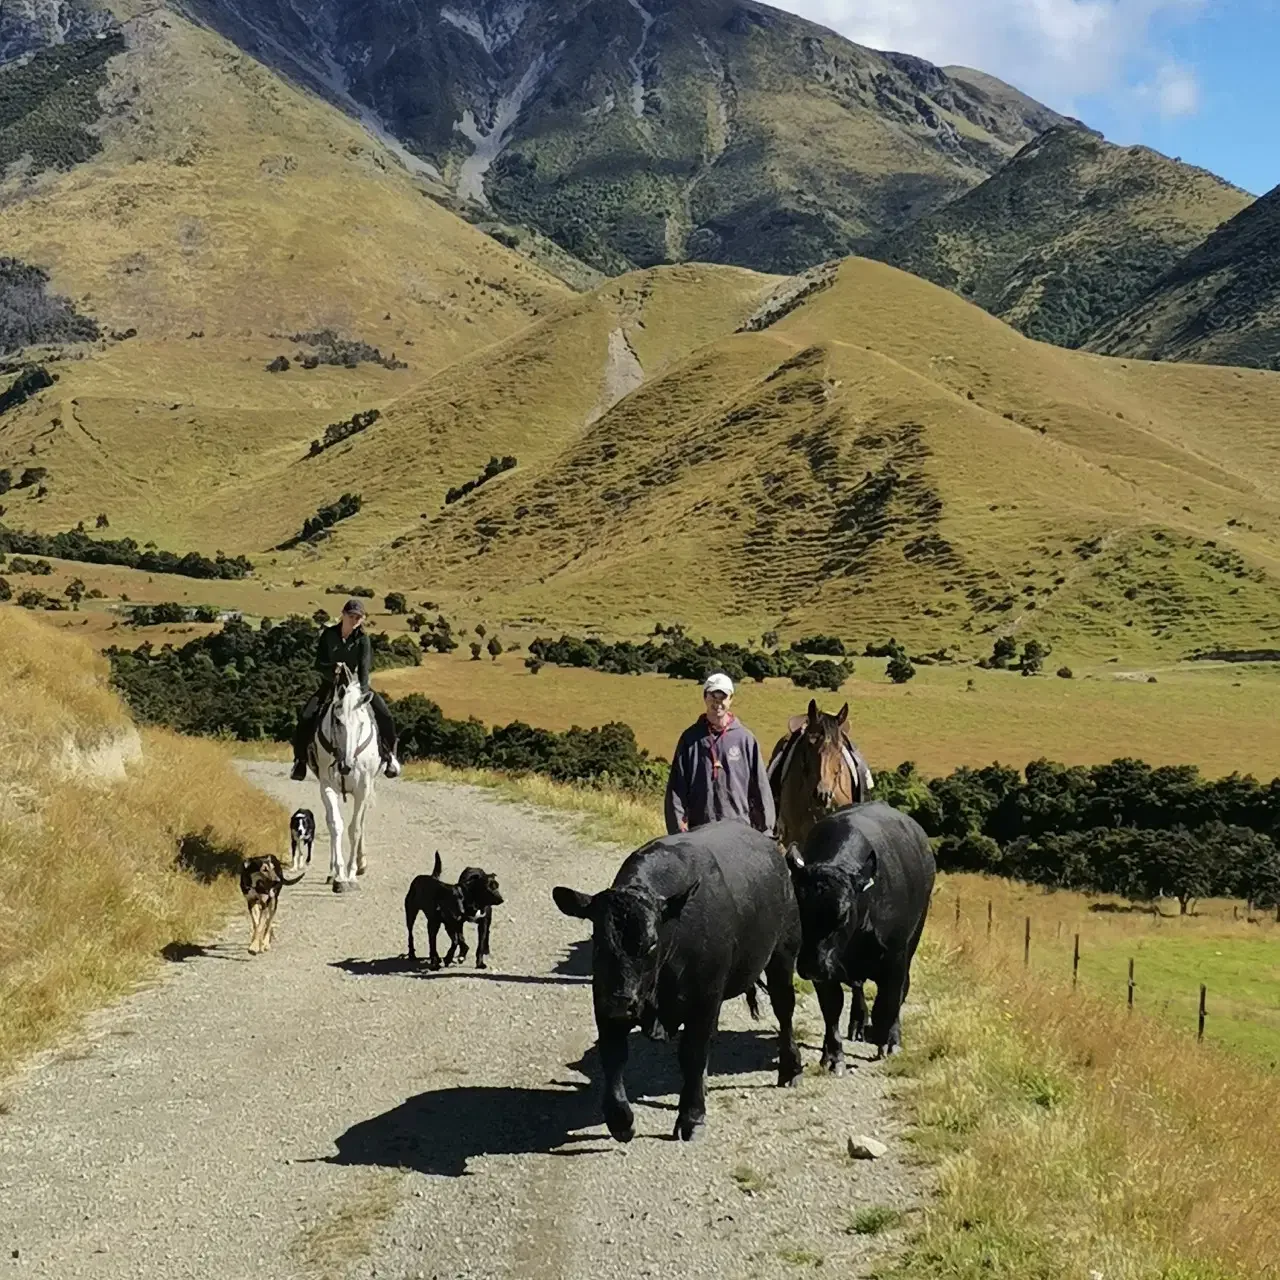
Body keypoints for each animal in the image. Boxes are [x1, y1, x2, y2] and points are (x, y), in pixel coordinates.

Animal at [553, 821, 803, 1143]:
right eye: (598, 941)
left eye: (650, 943)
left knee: (784, 1011)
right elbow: (614, 1056)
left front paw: (691, 1117)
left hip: (783, 955)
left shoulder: (704, 1000)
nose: (622, 1000)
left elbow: (692, 1054)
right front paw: (620, 1119)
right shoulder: (604, 1002)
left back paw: (790, 1068)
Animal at [786, 803, 935, 1074]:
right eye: (797, 908)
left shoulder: (895, 958)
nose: (810, 966)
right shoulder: (825, 970)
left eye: (844, 913)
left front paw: (887, 1042)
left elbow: (888, 1001)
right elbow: (832, 1007)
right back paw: (856, 1024)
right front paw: (833, 1056)